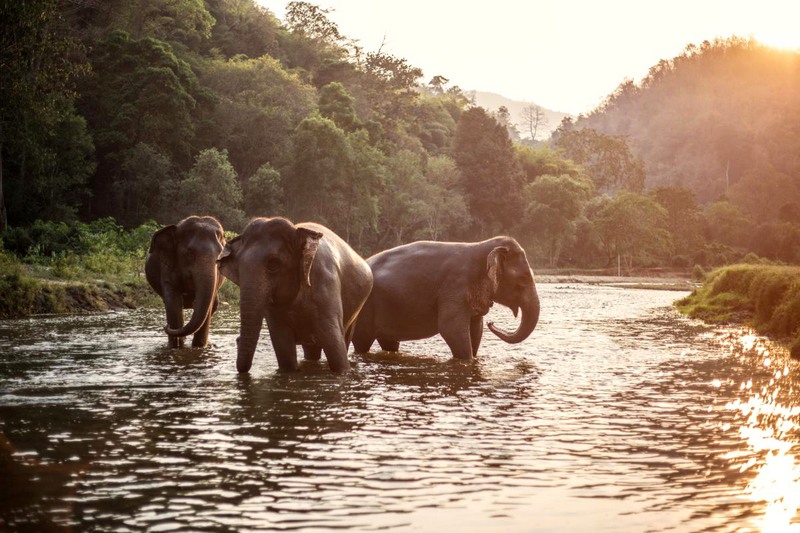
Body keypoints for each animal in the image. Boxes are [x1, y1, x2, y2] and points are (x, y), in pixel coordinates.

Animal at [142, 214, 225, 348]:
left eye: (220, 256)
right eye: (189, 253)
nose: (165, 326)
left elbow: (208, 307)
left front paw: (198, 347)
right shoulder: (167, 264)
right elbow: (173, 303)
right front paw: (175, 347)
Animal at [219, 216, 376, 374]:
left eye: (274, 264)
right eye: (238, 267)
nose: (237, 339)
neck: (297, 231)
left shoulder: (325, 282)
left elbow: (335, 344)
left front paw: (344, 371)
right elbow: (283, 346)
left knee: (344, 338)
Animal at [354, 236, 540, 358]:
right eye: (524, 277)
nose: (492, 323)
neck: (481, 246)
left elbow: (476, 329)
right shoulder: (454, 288)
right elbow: (451, 329)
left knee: (389, 343)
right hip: (363, 309)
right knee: (362, 342)